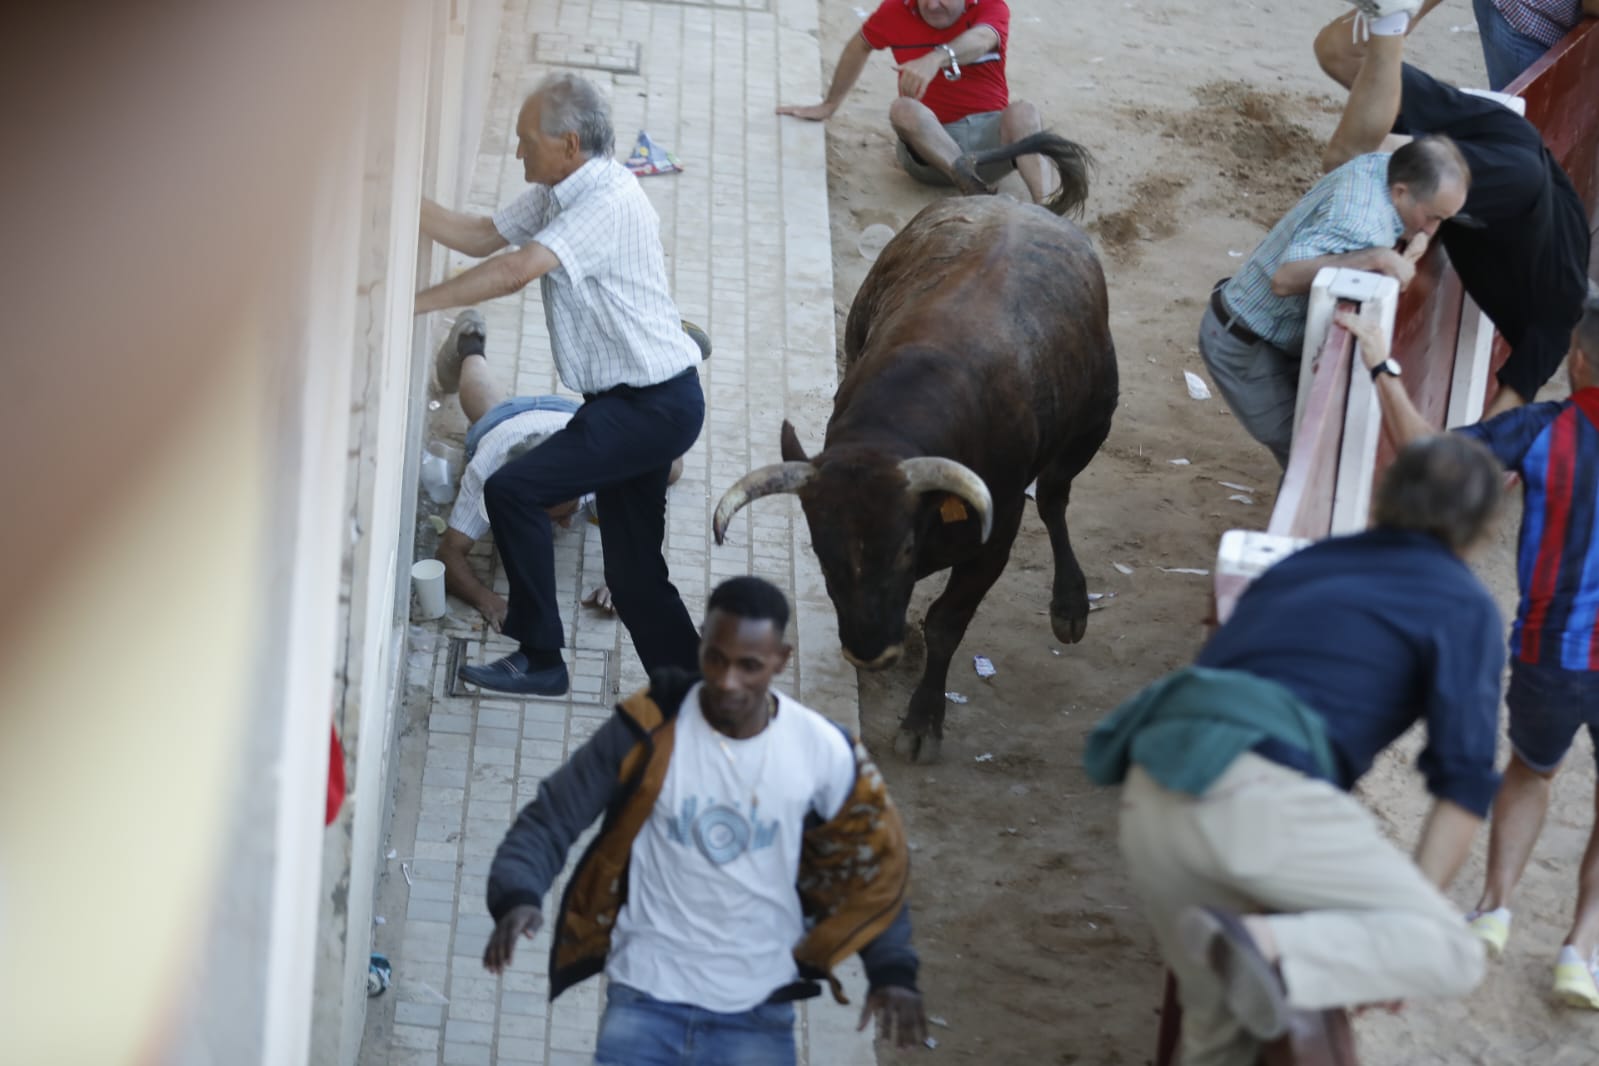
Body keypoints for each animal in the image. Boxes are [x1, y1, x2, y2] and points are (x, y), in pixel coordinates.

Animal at [713, 154, 1112, 763]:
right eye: (819, 547)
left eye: (903, 547)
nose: (869, 653)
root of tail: (1011, 201)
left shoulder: (995, 537)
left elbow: (947, 623)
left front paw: (924, 721)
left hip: (1093, 425)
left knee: (1054, 496)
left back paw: (1070, 604)